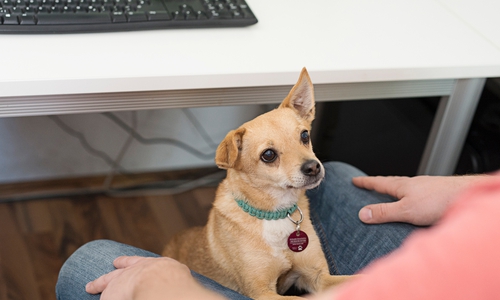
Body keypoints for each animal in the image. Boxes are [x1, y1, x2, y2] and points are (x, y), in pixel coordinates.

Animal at [164, 68, 352, 300]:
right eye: (268, 155)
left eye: (305, 135)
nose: (313, 167)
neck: (276, 214)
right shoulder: (262, 291)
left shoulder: (317, 275)